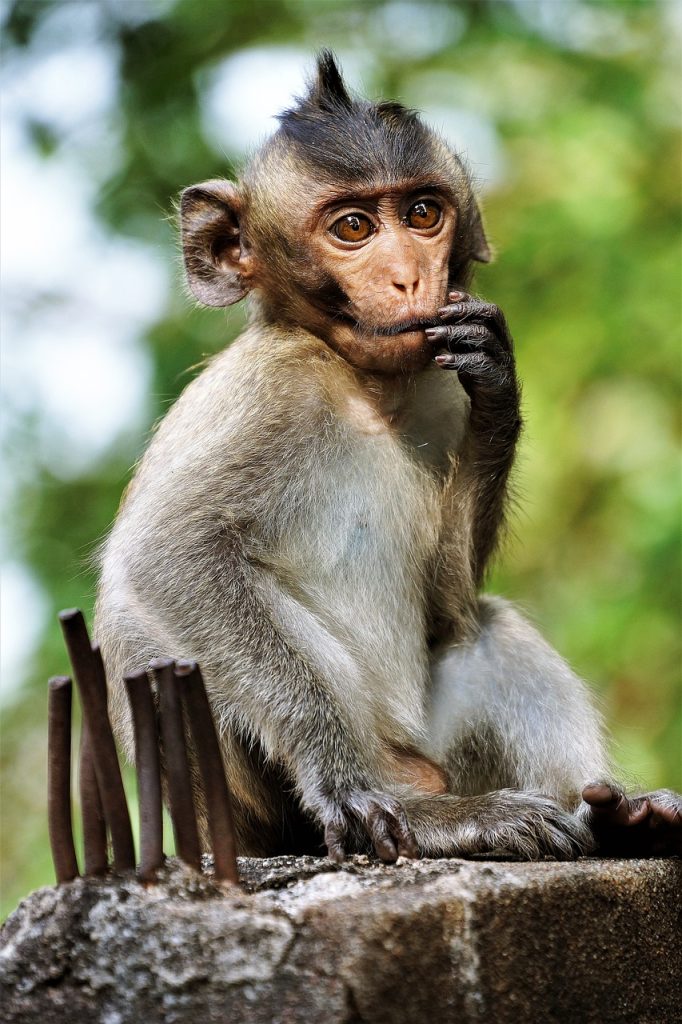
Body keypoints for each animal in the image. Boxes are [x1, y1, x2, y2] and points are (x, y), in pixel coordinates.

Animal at [95, 51, 681, 862]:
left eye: (423, 214)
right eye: (353, 227)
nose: (410, 278)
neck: (363, 386)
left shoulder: (438, 389)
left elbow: (448, 604)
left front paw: (498, 385)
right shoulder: (269, 391)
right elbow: (169, 555)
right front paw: (343, 787)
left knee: (485, 627)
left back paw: (612, 816)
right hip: (266, 806)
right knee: (150, 626)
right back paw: (434, 819)